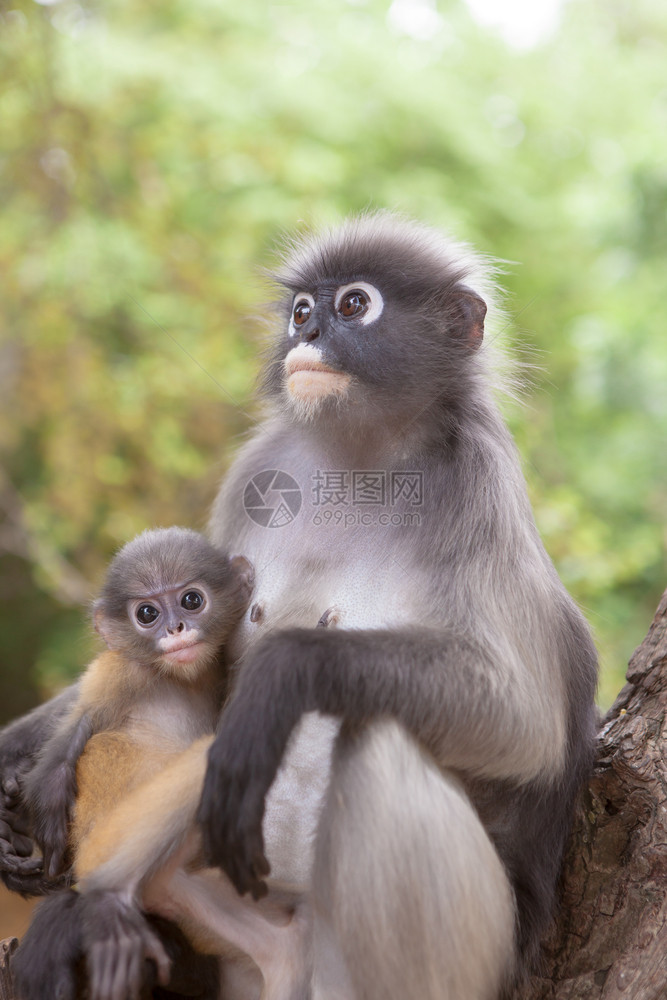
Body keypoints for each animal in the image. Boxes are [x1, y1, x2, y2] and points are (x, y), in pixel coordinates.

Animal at [15, 536, 258, 1000]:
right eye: (147, 614)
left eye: (191, 600)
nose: (175, 628)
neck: (177, 679)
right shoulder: (120, 669)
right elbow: (79, 726)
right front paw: (49, 798)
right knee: (107, 745)